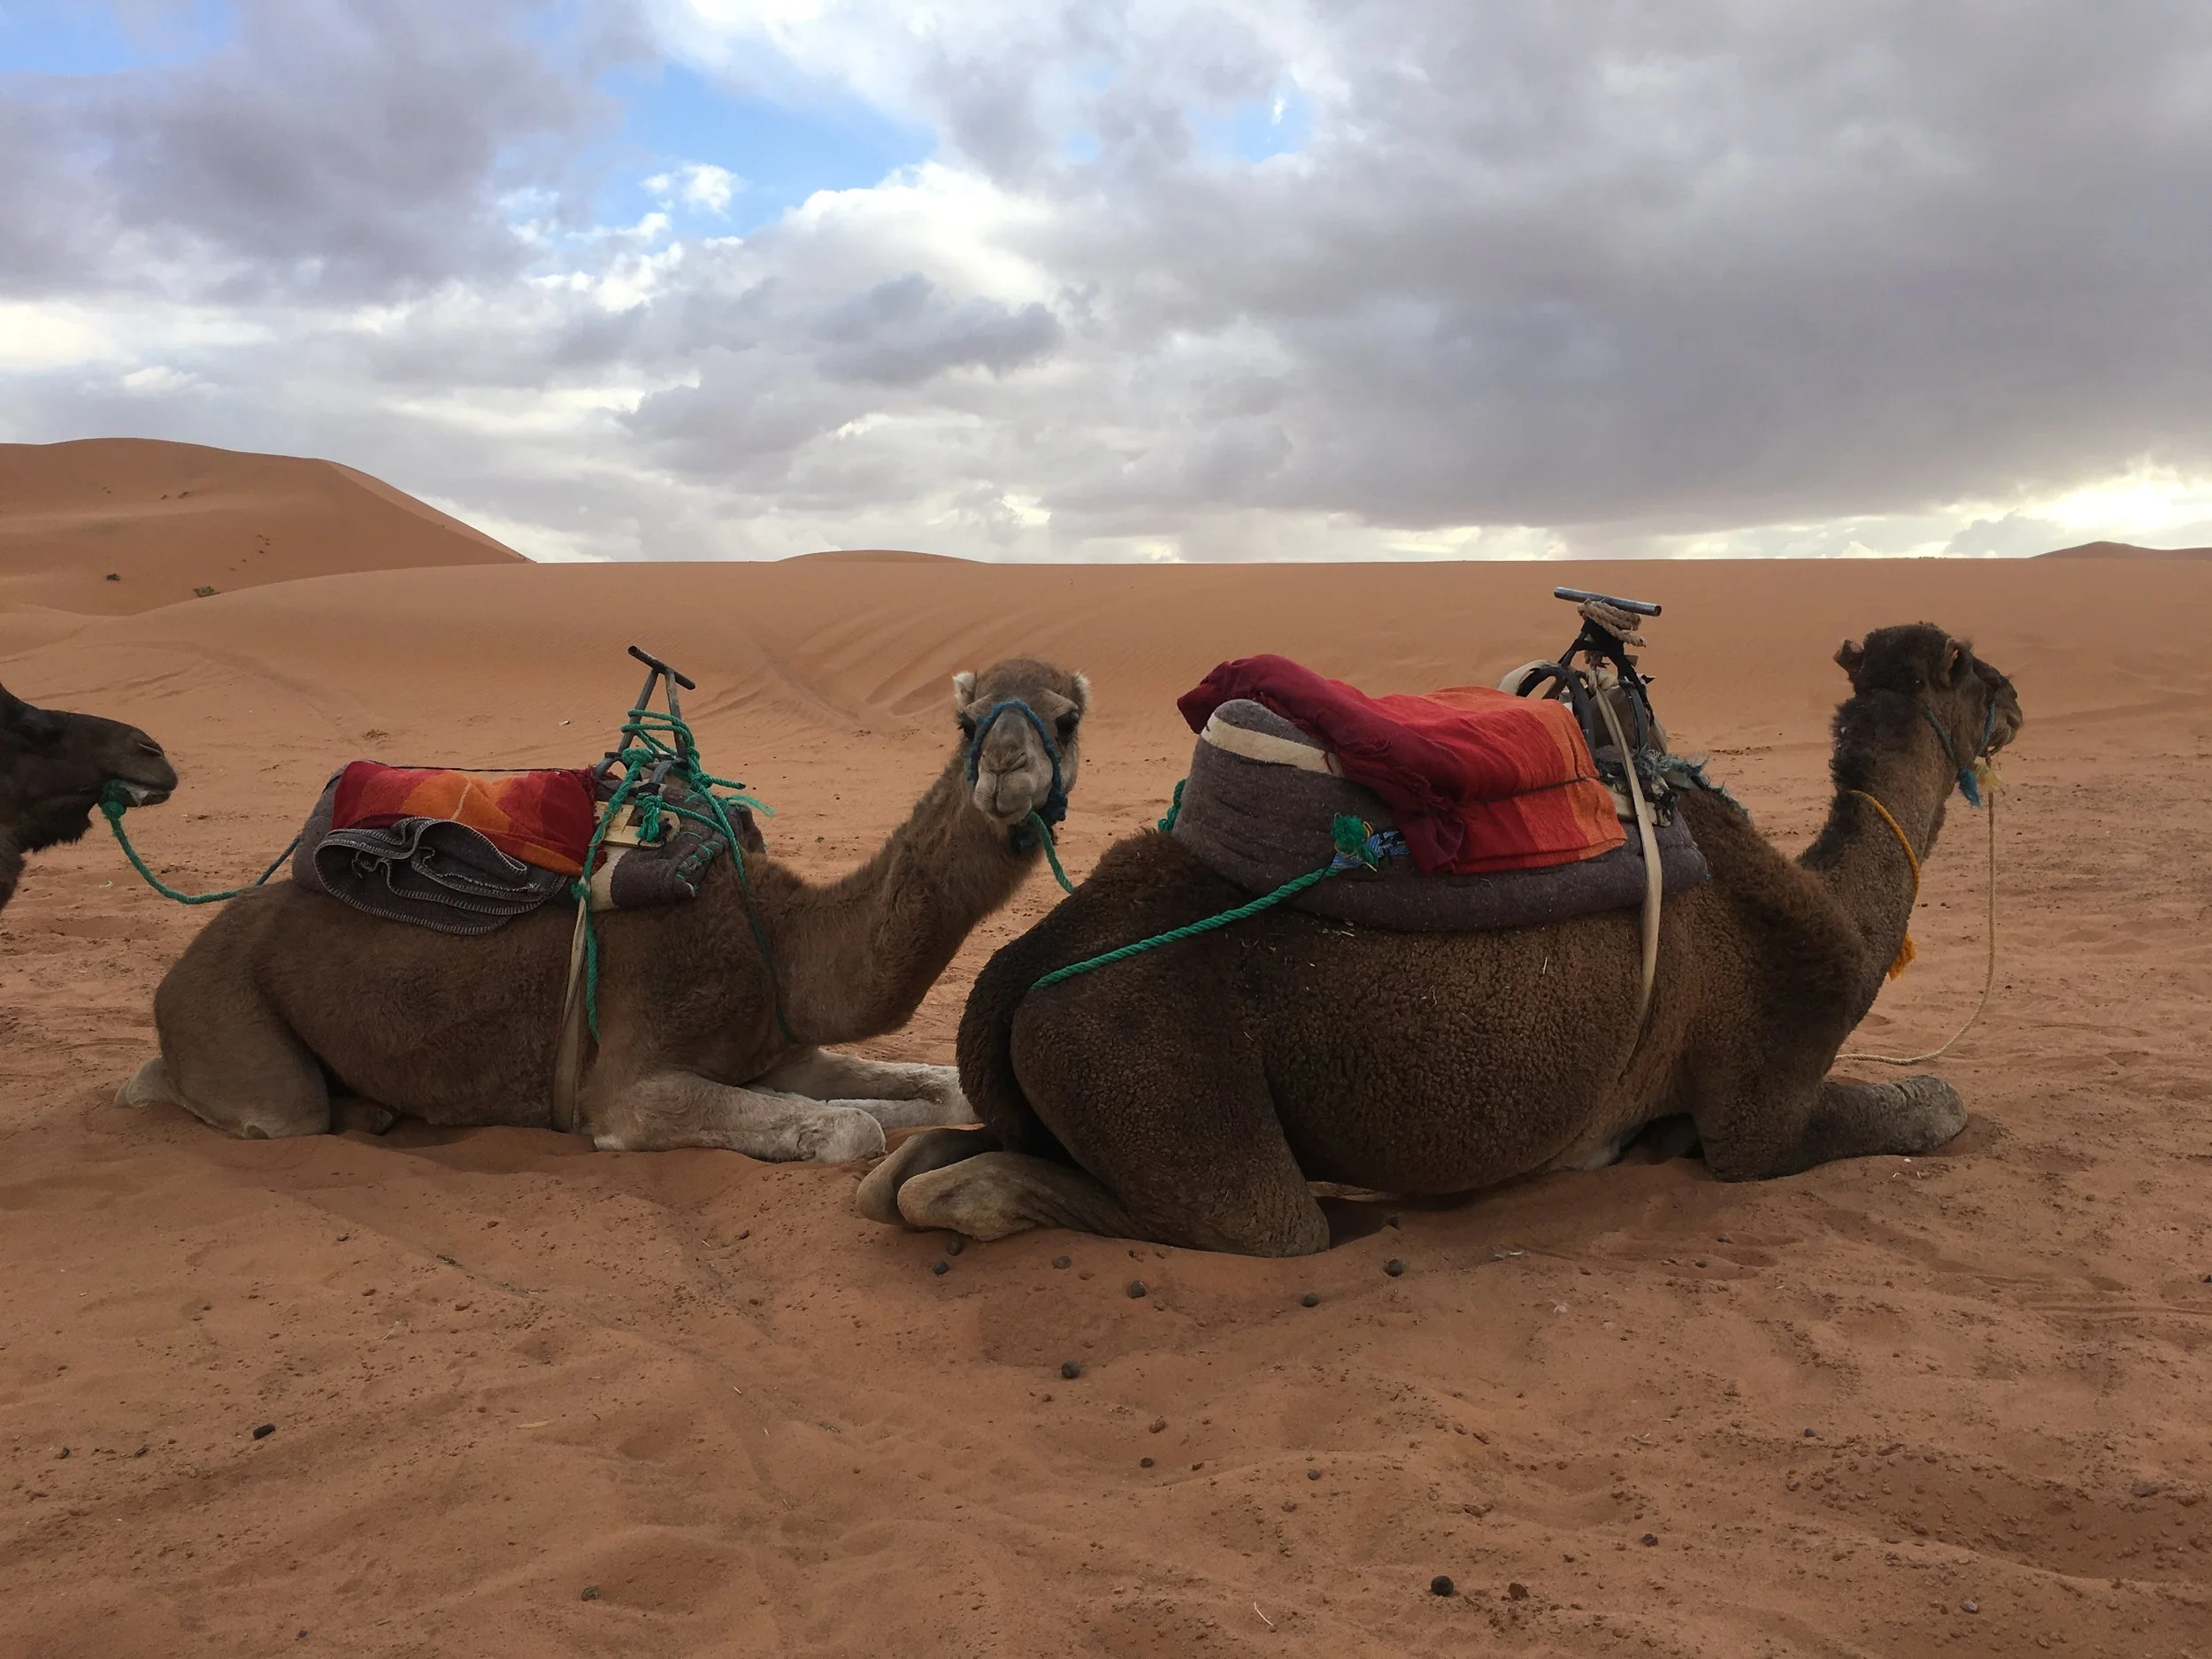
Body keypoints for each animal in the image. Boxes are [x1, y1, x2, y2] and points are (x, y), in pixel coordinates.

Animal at [120, 658, 1088, 1162]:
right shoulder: (627, 1080)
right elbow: (851, 1131)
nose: (1007, 766)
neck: (776, 940)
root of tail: (179, 964)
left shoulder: (781, 1050)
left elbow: (928, 1092)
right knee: (252, 1104)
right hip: (233, 1024)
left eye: (1067, 717)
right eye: (967, 723)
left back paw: (374, 1111)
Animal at [858, 624, 2021, 1255]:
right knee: (1256, 1222)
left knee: (903, 1172)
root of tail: (1018, 970)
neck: (1833, 914)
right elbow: (1936, 1106)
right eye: (1968, 666)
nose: (2014, 695)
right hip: (1156, 1076)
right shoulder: (1761, 1106)